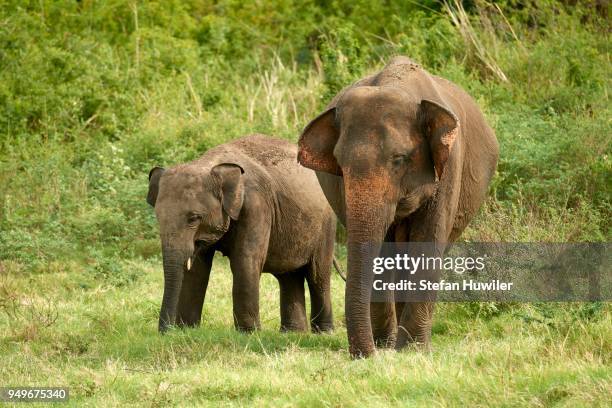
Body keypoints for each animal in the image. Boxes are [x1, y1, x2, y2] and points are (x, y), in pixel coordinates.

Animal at [149, 134, 340, 334]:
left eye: (194, 218)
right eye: (158, 217)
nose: (165, 331)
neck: (210, 164)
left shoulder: (256, 206)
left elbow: (245, 260)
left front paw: (248, 333)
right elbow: (197, 269)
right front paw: (188, 330)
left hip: (327, 225)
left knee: (318, 274)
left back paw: (323, 333)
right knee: (288, 275)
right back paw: (293, 332)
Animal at [298, 56, 500, 356]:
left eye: (399, 159)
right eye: (340, 164)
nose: (367, 356)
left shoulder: (449, 166)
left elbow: (427, 242)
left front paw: (413, 350)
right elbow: (383, 251)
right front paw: (388, 346)